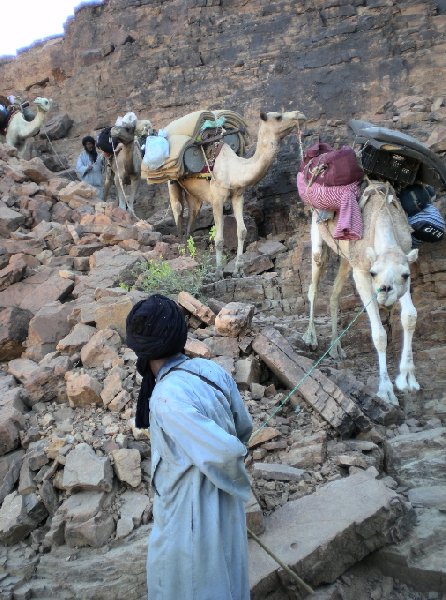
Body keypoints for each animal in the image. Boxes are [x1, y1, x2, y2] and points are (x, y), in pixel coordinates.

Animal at [167, 109, 306, 276]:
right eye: (278, 117)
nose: (300, 115)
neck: (235, 170)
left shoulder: (238, 196)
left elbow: (242, 231)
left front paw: (238, 271)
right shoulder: (217, 198)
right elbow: (219, 238)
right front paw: (218, 272)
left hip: (194, 194)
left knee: (193, 215)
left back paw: (189, 254)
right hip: (172, 181)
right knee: (178, 211)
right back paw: (182, 254)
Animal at [302, 180, 420, 406]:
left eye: (405, 274)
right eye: (374, 273)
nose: (385, 293)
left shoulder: (404, 265)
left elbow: (410, 316)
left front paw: (408, 379)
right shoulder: (362, 273)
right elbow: (379, 334)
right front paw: (386, 391)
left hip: (346, 258)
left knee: (334, 296)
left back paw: (336, 348)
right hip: (317, 236)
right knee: (314, 285)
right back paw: (310, 337)